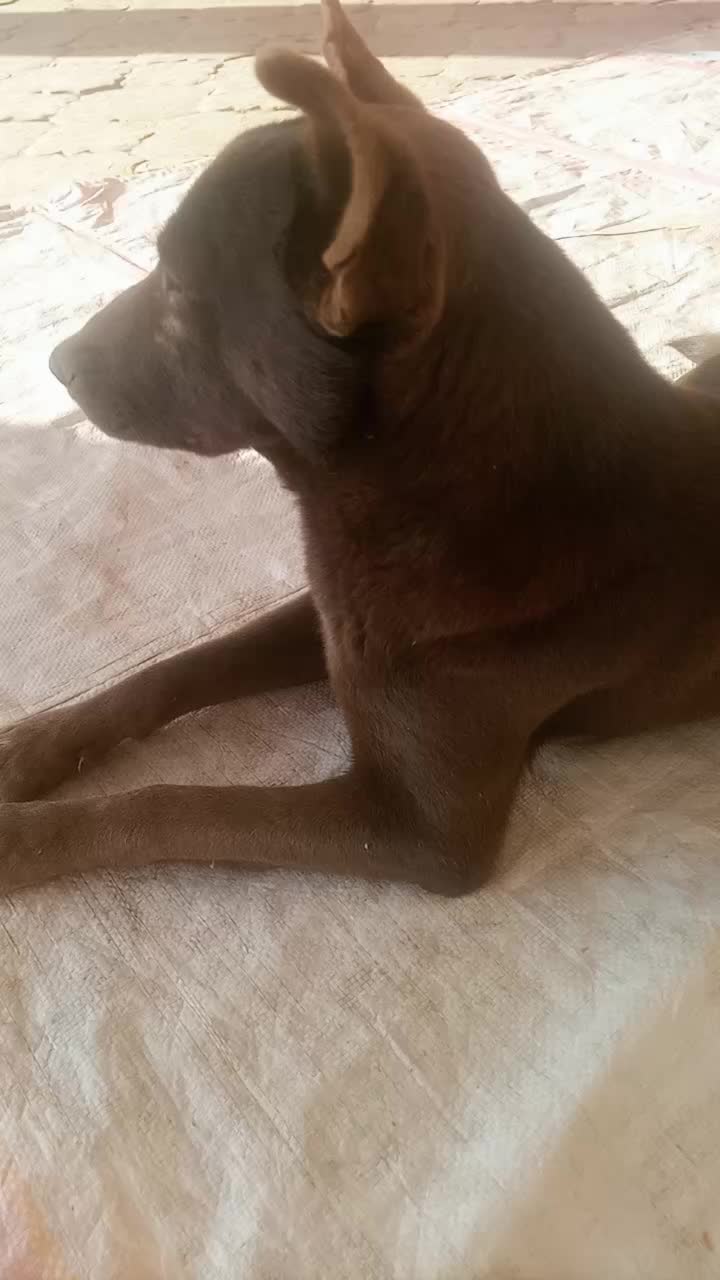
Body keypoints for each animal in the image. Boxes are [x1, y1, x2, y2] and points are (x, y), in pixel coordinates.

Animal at [2, 0, 720, 894]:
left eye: (174, 285)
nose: (53, 362)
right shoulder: (329, 618)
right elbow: (179, 667)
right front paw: (40, 742)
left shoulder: (413, 828)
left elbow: (170, 805)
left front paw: (23, 839)